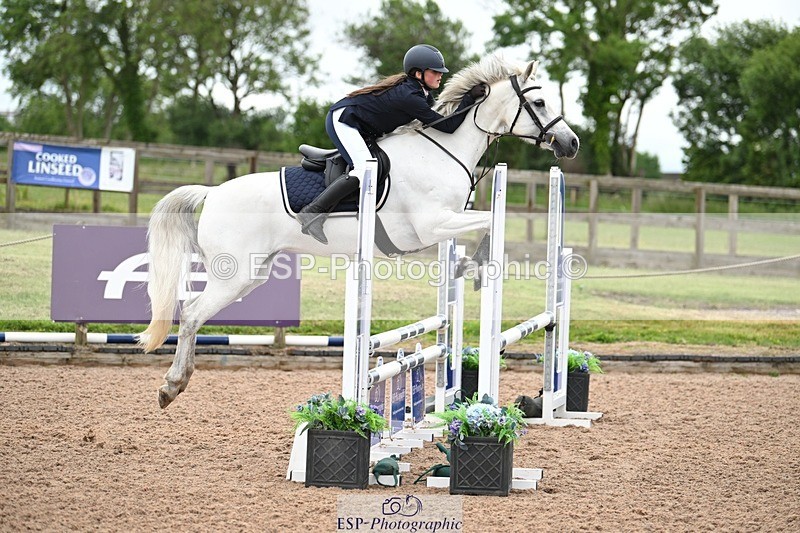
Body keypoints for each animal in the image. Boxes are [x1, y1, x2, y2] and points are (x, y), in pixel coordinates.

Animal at [140, 55, 580, 408]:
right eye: (540, 103)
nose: (570, 143)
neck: (442, 150)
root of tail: (212, 191)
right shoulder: (431, 224)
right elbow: (488, 221)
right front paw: (479, 265)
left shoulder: (445, 222)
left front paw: (470, 266)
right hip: (234, 274)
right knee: (192, 314)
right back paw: (171, 386)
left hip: (253, 274)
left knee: (197, 314)